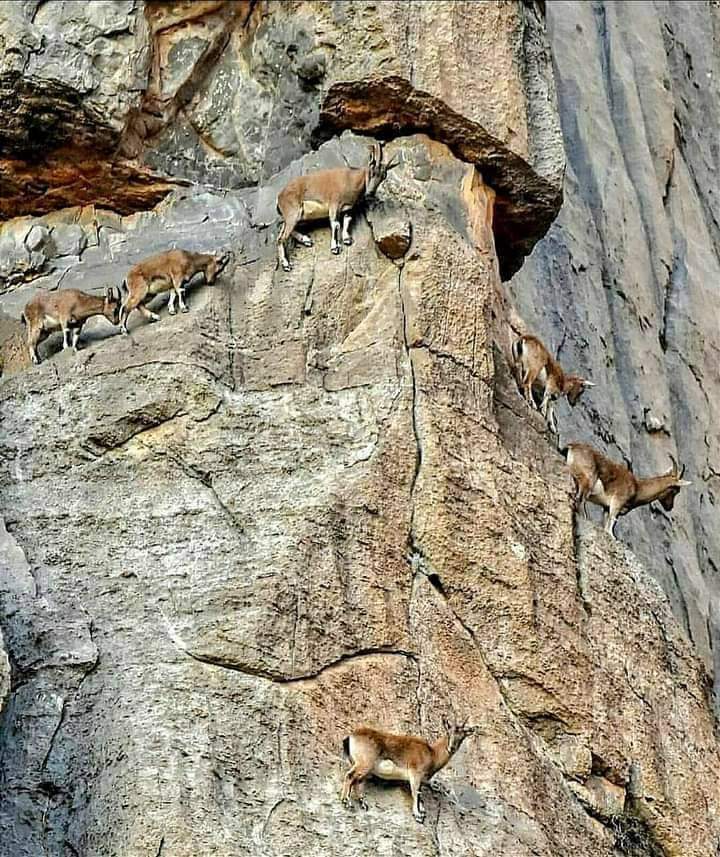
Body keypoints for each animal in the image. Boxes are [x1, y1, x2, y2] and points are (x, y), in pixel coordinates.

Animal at [276, 142, 399, 271]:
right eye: (372, 171)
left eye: (383, 176)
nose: (370, 192)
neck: (350, 180)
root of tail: (279, 197)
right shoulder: (334, 204)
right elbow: (336, 224)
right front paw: (335, 248)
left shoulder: (348, 208)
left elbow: (347, 221)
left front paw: (346, 239)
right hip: (293, 212)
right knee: (281, 238)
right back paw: (286, 264)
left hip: (299, 215)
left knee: (284, 230)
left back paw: (306, 240)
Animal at [341, 717, 476, 823]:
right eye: (449, 733)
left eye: (462, 737)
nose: (451, 748)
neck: (432, 753)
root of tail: (350, 737)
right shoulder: (415, 773)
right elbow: (415, 793)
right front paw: (418, 815)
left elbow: (419, 794)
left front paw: (421, 811)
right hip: (364, 763)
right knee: (350, 776)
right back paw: (347, 802)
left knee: (358, 781)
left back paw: (363, 803)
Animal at [563, 443, 692, 538]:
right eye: (676, 490)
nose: (669, 507)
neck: (637, 487)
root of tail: (572, 446)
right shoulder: (617, 502)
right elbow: (610, 527)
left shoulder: (606, 507)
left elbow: (606, 524)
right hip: (587, 481)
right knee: (580, 500)